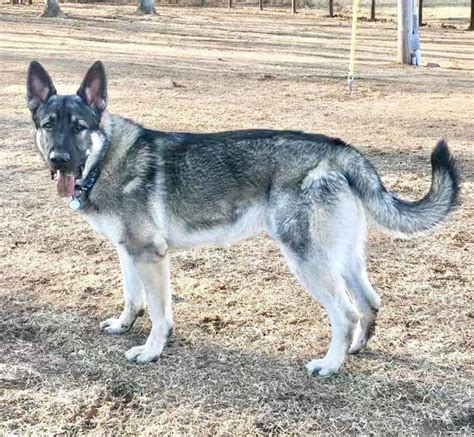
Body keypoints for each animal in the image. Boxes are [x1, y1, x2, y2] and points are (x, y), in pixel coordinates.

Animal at [25, 60, 460, 374]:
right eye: (48, 126)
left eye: (80, 128)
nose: (59, 160)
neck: (107, 160)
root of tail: (342, 151)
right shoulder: (128, 252)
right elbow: (133, 299)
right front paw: (123, 325)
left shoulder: (151, 256)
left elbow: (160, 315)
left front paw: (151, 351)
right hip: (343, 259)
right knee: (369, 303)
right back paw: (356, 350)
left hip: (308, 262)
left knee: (347, 312)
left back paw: (330, 365)